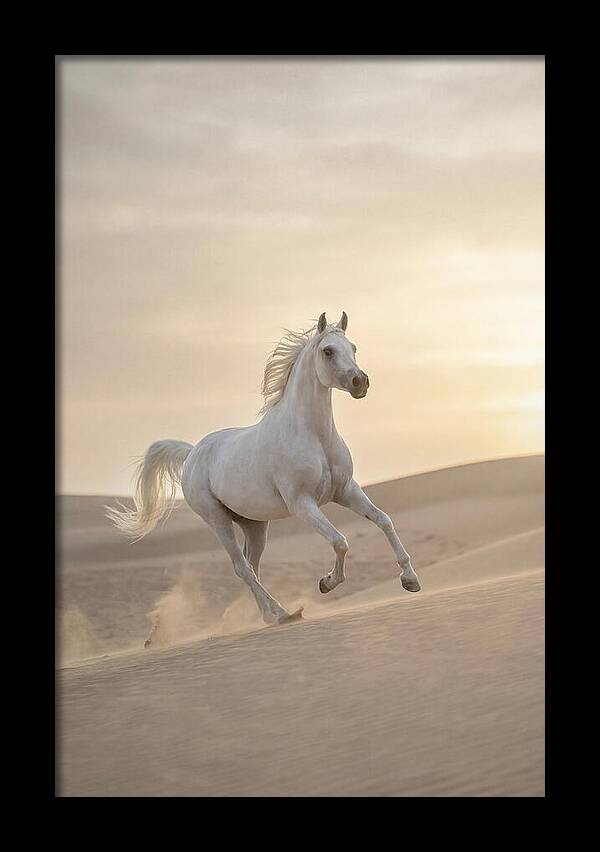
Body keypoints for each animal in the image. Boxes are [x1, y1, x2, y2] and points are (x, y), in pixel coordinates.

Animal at [107, 311, 421, 627]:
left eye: (353, 348)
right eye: (328, 351)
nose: (360, 382)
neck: (314, 436)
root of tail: (192, 452)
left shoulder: (345, 490)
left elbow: (383, 520)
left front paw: (410, 580)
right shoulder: (302, 504)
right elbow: (340, 541)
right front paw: (327, 582)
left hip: (255, 525)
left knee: (252, 565)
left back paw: (269, 615)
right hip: (217, 519)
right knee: (242, 568)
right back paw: (283, 613)